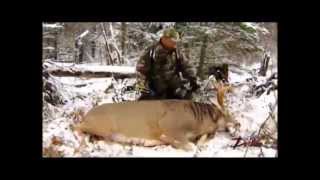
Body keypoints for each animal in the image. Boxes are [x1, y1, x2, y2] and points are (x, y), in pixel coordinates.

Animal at [74, 81, 240, 150]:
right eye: (228, 114)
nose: (238, 123)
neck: (196, 120)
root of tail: (87, 114)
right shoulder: (170, 124)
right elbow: (190, 146)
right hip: (103, 124)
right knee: (75, 126)